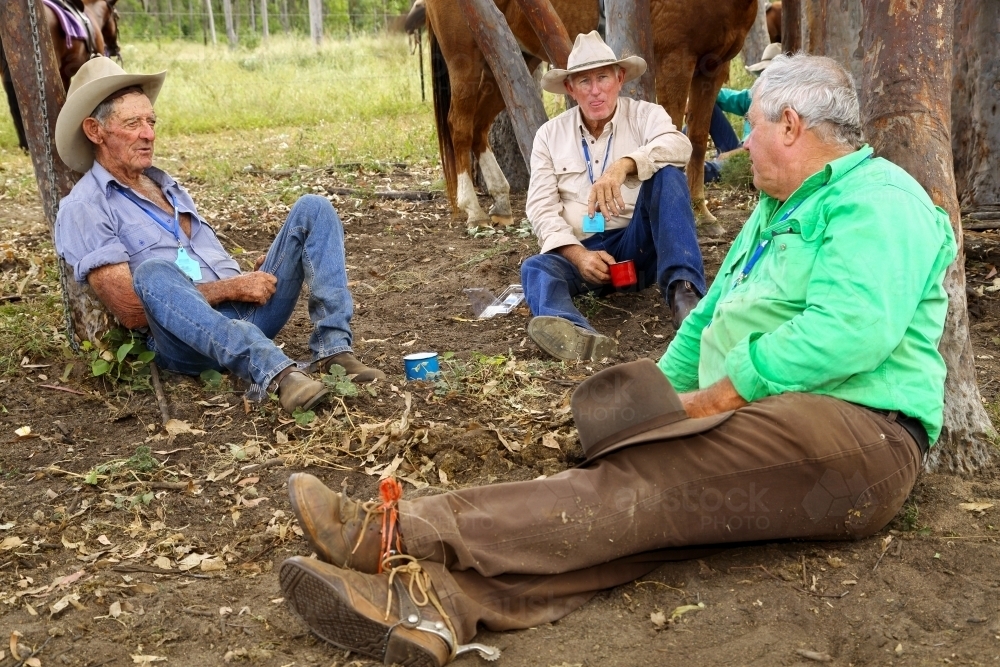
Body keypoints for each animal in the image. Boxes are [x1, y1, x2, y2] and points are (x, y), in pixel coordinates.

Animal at [422, 0, 756, 231]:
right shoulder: (677, 60)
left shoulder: (713, 68)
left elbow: (696, 139)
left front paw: (702, 214)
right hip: (465, 59)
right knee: (460, 125)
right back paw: (473, 209)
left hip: (506, 59)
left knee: (479, 126)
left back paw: (501, 199)